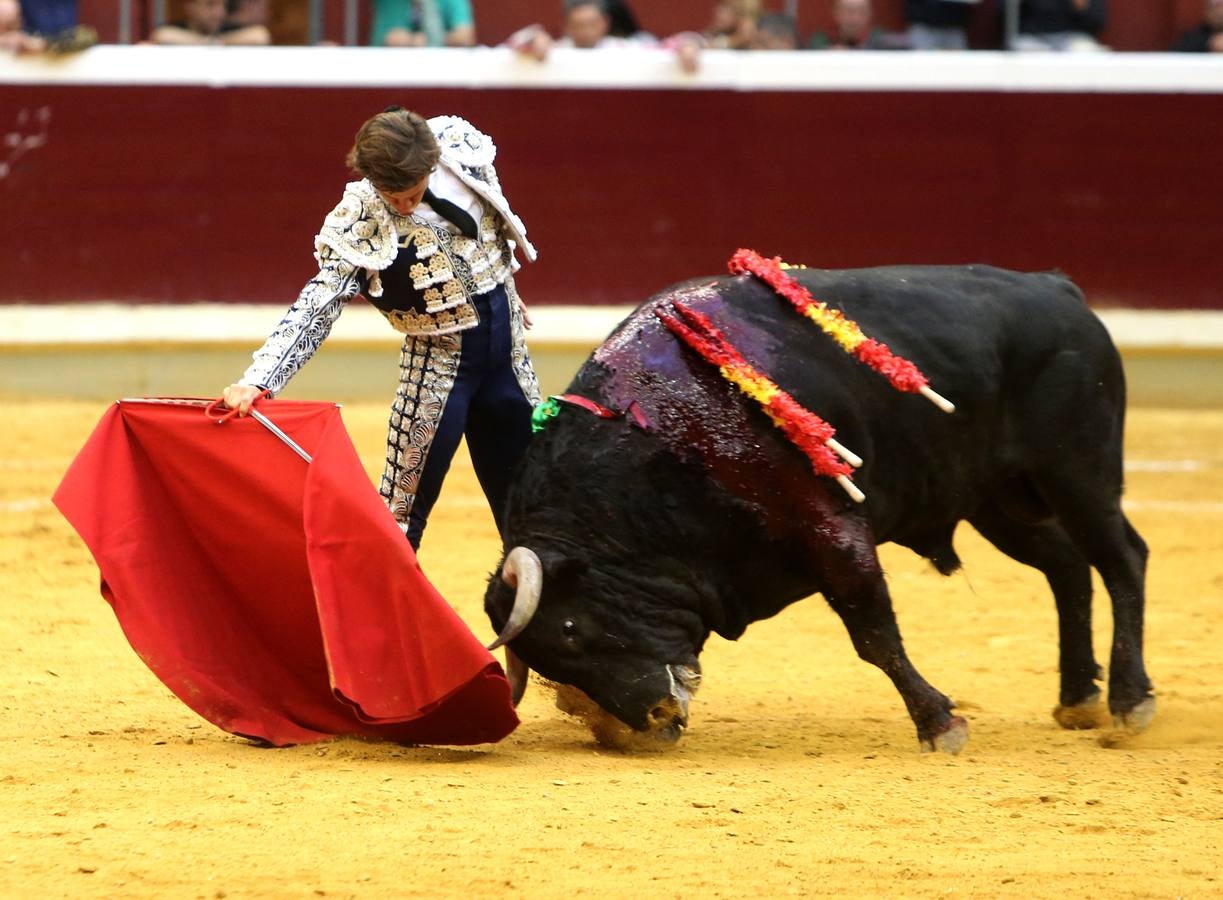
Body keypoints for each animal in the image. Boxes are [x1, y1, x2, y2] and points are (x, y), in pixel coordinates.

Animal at [479, 265, 1154, 753]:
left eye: (572, 629)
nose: (655, 717)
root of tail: (1058, 289)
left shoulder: (832, 528)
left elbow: (873, 634)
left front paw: (940, 723)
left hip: (1078, 471)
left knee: (1121, 558)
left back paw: (1129, 701)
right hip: (999, 499)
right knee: (1067, 566)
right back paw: (1078, 698)